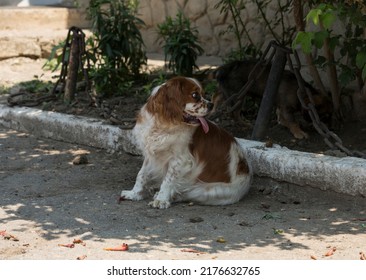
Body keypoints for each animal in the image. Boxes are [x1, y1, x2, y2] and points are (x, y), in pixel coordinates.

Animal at [121, 76, 252, 208]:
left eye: (203, 94)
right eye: (195, 95)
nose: (211, 104)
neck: (165, 125)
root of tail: (246, 172)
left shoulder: (181, 160)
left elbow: (168, 180)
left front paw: (161, 200)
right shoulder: (151, 155)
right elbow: (141, 174)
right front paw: (134, 193)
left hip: (206, 190)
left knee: (186, 193)